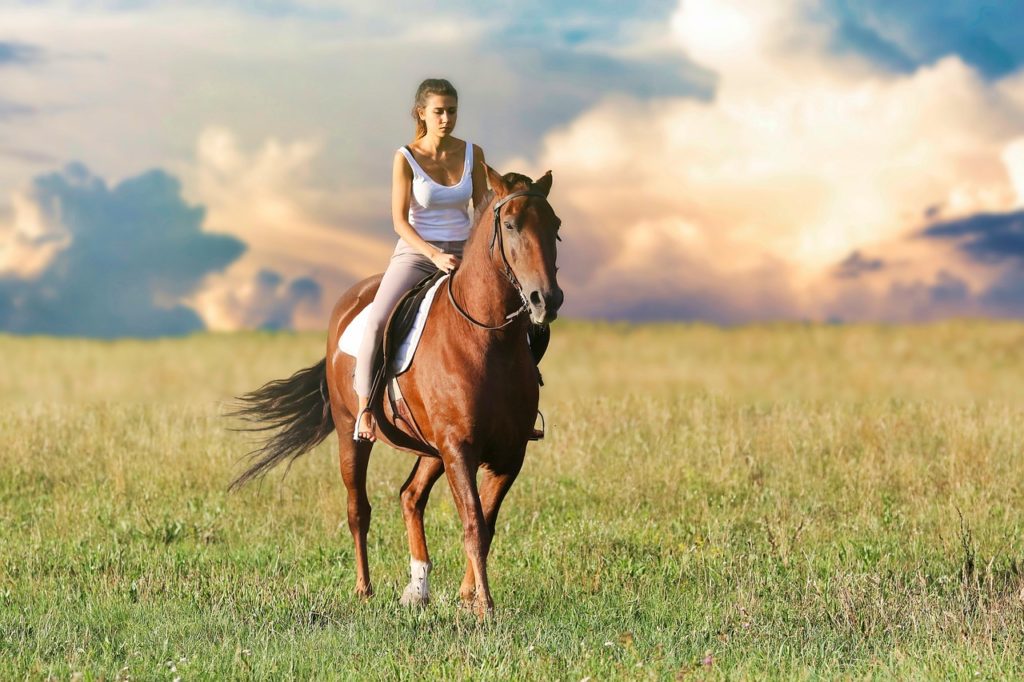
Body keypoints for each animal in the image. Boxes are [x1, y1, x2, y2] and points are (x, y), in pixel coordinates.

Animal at [229, 165, 565, 614]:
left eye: (555, 226)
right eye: (510, 225)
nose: (546, 299)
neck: (487, 339)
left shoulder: (508, 454)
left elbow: (487, 524)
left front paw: (469, 598)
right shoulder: (460, 448)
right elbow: (474, 523)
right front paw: (485, 607)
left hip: (431, 449)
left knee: (410, 496)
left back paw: (418, 590)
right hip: (353, 434)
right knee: (358, 508)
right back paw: (364, 589)